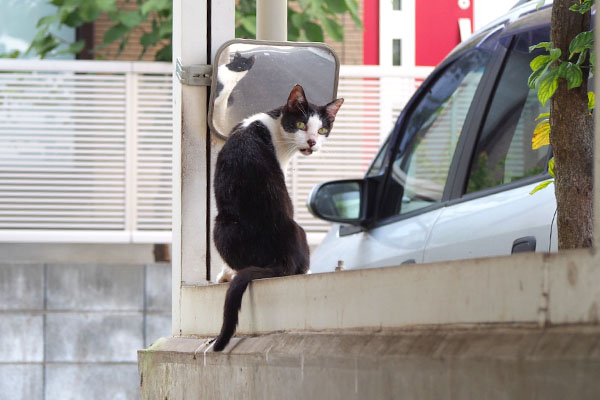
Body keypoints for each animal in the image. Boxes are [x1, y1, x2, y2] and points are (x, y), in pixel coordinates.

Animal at [212, 83, 342, 350]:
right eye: (302, 124)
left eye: (322, 130)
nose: (312, 142)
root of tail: (283, 257)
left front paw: (224, 274)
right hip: (292, 229)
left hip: (221, 225)